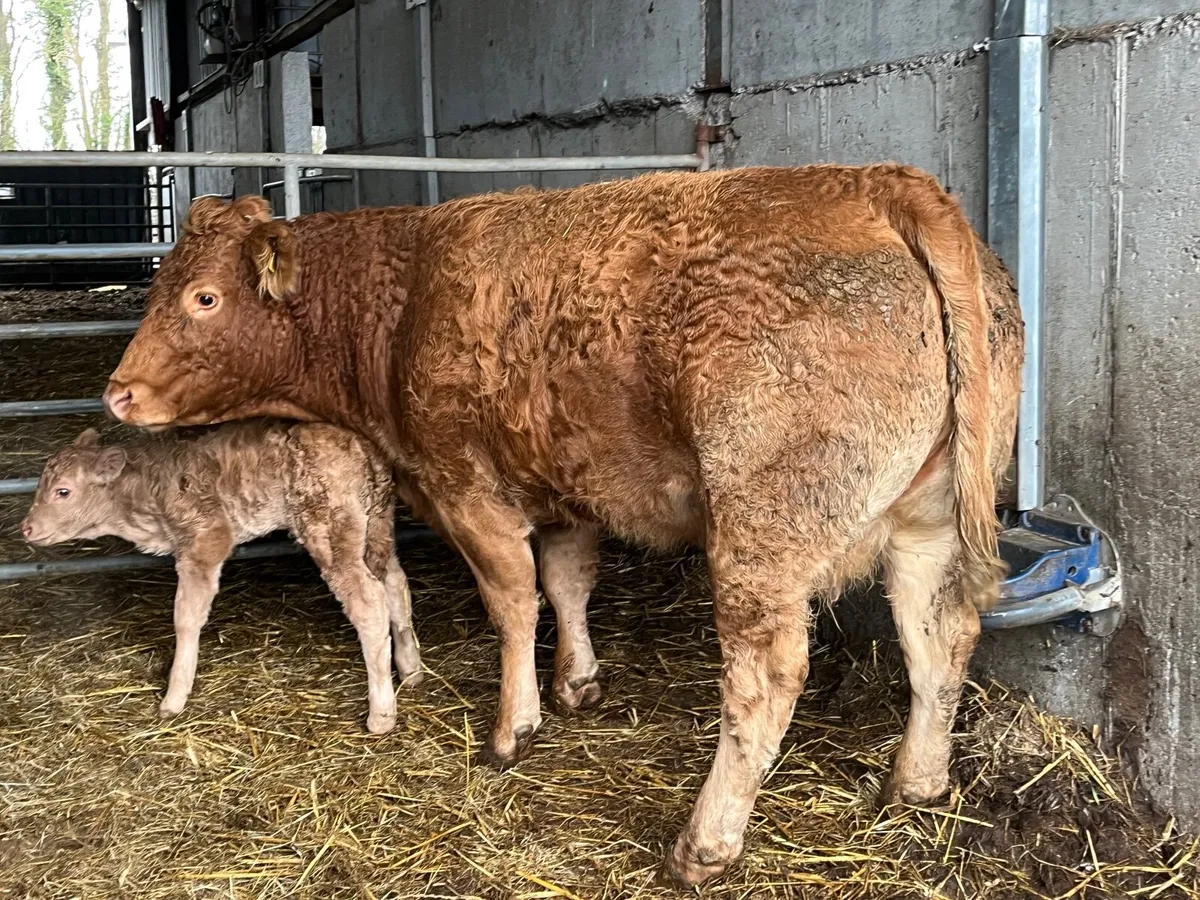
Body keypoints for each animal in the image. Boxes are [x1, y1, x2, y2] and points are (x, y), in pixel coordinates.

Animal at [21, 421, 423, 733]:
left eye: (63, 491)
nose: (27, 528)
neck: (146, 492)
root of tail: (363, 444)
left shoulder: (206, 538)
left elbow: (185, 617)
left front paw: (174, 697)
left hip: (329, 528)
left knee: (369, 604)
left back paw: (381, 714)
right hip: (377, 522)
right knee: (394, 583)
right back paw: (411, 669)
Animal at [102, 164, 1023, 887]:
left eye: (205, 297)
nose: (117, 392)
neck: (400, 301)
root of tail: (875, 181)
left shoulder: (466, 488)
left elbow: (513, 603)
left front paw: (514, 726)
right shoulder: (565, 488)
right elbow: (567, 582)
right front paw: (577, 682)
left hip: (761, 530)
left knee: (766, 677)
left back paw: (704, 845)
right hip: (928, 520)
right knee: (939, 636)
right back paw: (918, 782)